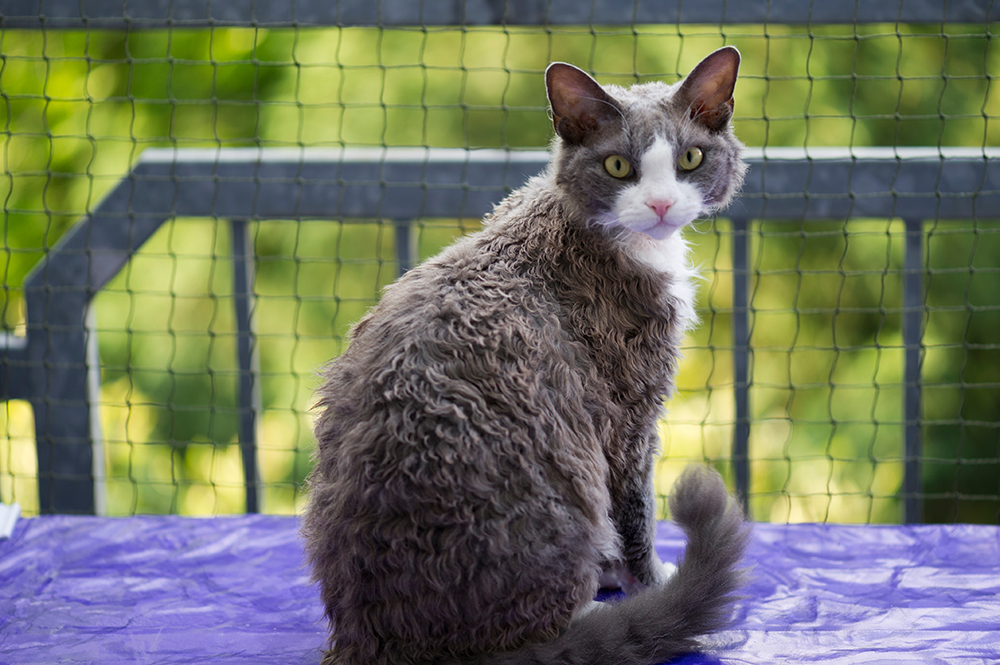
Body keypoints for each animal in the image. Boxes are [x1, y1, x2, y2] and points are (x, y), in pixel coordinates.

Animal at [302, 46, 752, 664]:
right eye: (618, 166)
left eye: (691, 157)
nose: (661, 203)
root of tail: (375, 639)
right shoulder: (627, 409)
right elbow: (636, 512)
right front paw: (651, 581)